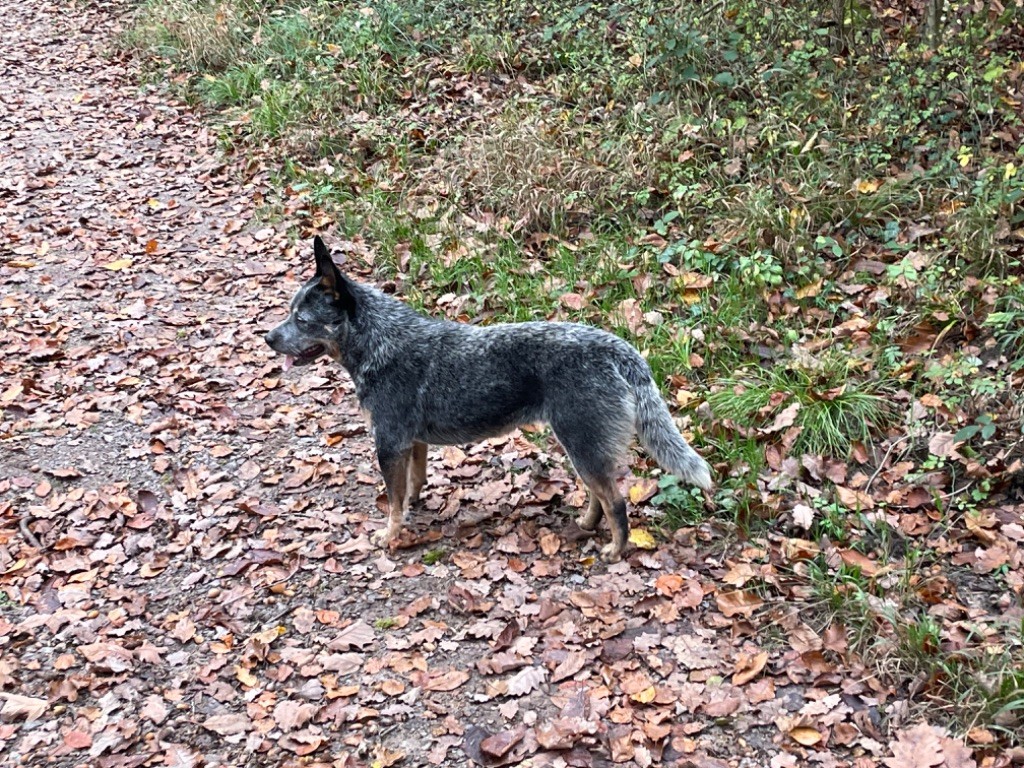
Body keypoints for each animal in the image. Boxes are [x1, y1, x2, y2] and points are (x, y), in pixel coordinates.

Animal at [264, 237, 712, 561]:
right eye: (289, 312)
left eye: (302, 320)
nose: (267, 338)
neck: (380, 341)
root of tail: (618, 347)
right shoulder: (413, 442)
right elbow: (413, 483)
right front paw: (413, 506)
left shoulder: (388, 443)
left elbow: (392, 502)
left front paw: (389, 535)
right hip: (581, 445)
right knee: (598, 496)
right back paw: (587, 524)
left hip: (581, 442)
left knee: (616, 503)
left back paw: (616, 551)